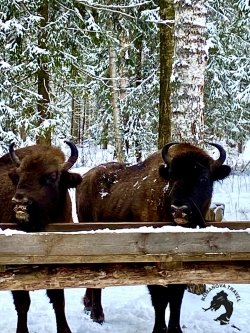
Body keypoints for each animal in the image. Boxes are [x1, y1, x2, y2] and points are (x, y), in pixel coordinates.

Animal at [75, 142, 230, 332]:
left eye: (203, 178)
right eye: (172, 177)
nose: (179, 209)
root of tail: (85, 178)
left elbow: (176, 299)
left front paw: (175, 329)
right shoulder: (152, 263)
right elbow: (160, 299)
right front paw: (159, 329)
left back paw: (88, 305)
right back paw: (97, 315)